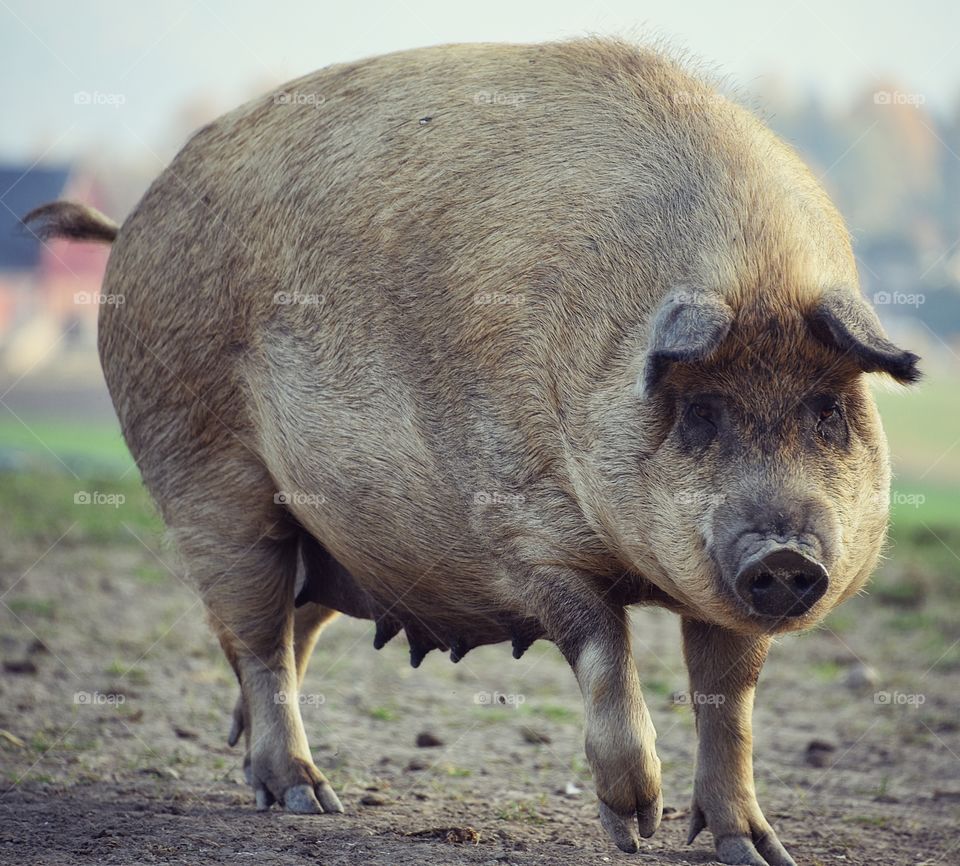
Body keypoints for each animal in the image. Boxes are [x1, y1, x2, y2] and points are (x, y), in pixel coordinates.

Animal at [26, 38, 919, 866]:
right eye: (700, 412)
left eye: (827, 410)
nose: (785, 556)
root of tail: (133, 220)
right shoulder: (523, 536)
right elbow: (605, 651)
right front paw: (636, 828)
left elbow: (730, 702)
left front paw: (760, 851)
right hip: (205, 477)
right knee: (257, 633)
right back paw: (309, 799)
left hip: (331, 531)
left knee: (290, 626)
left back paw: (268, 773)